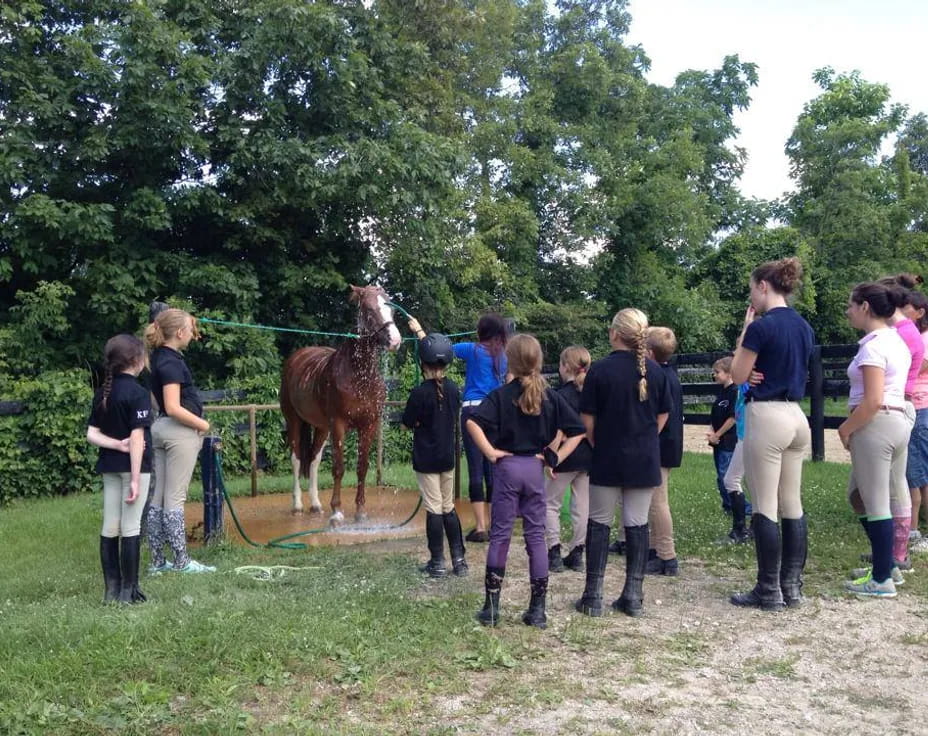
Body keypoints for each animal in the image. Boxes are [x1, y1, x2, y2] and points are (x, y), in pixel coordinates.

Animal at [280, 282, 402, 524]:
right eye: (369, 310)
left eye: (391, 309)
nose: (395, 341)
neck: (359, 376)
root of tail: (296, 358)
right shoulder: (338, 425)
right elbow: (338, 468)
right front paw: (337, 512)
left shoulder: (368, 425)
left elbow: (362, 467)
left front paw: (360, 511)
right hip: (294, 421)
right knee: (297, 459)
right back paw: (298, 506)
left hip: (321, 427)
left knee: (314, 460)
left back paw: (316, 505)